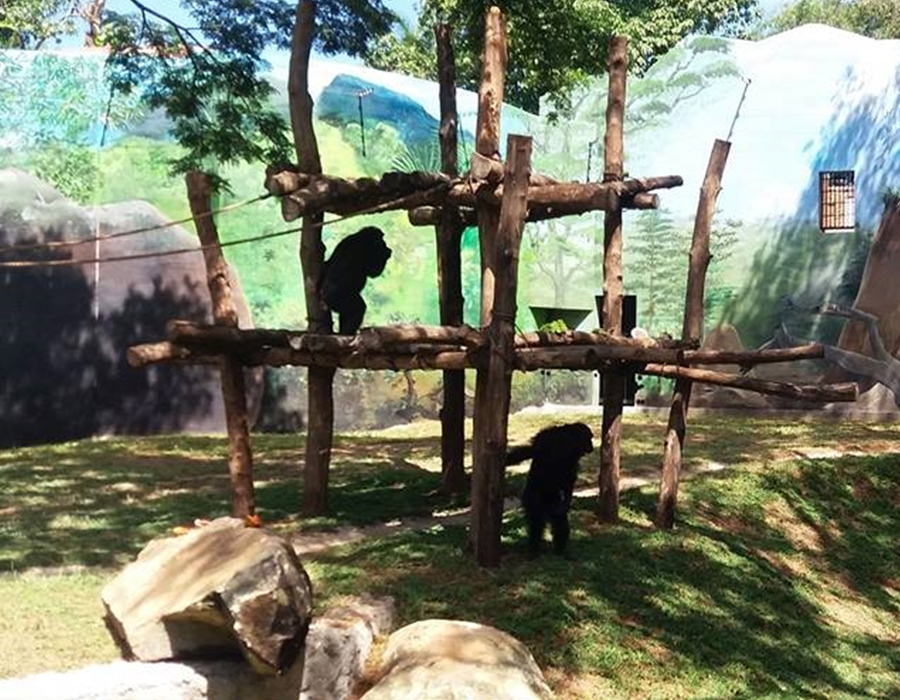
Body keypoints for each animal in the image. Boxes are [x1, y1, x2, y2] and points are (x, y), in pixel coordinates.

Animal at [510, 422, 596, 556]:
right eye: (589, 438)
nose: (591, 445)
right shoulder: (550, 439)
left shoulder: (546, 437)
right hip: (532, 498)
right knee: (539, 522)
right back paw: (539, 550)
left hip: (546, 500)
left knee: (553, 523)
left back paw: (553, 550)